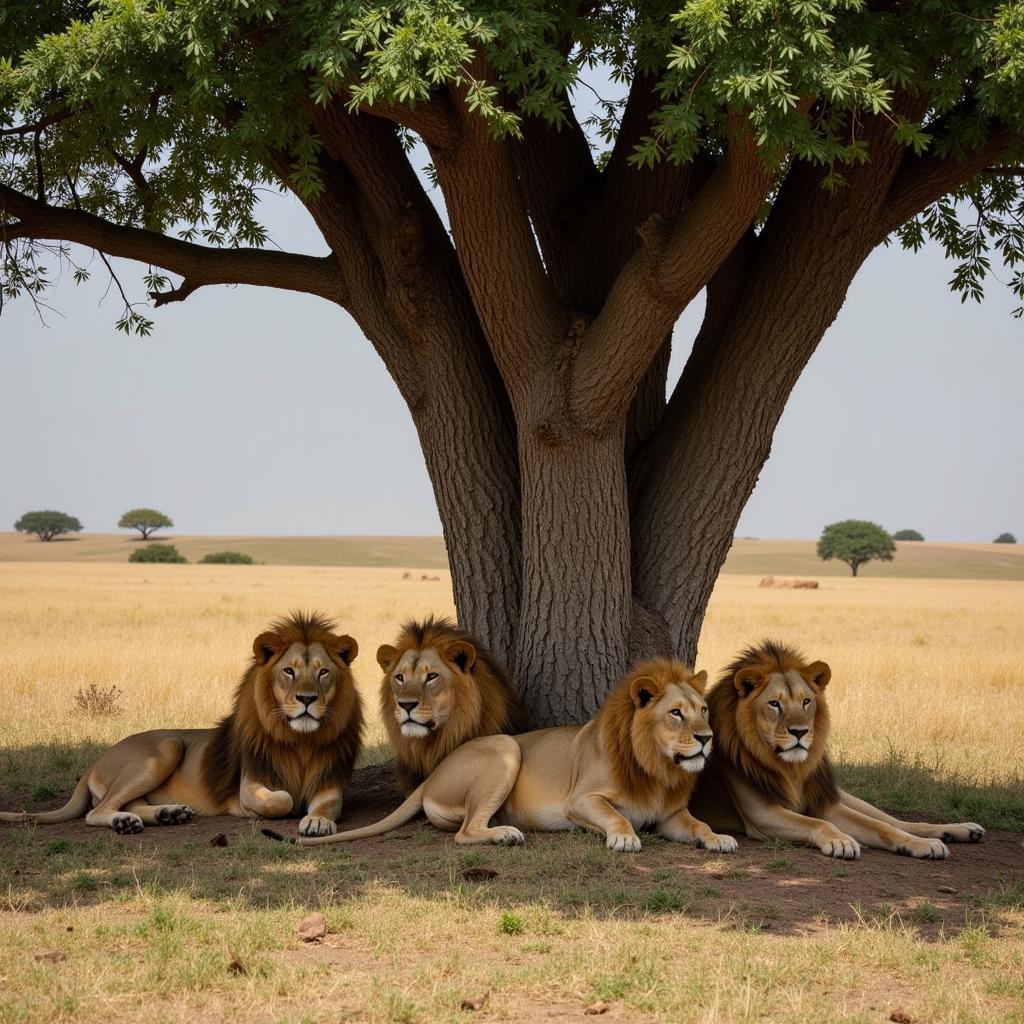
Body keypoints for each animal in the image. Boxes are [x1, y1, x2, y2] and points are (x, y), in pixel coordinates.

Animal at [0, 610, 364, 835]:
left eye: (323, 672)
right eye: (288, 671)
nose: (307, 699)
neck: (301, 741)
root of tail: (95, 762)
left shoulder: (330, 783)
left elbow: (325, 806)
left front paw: (316, 823)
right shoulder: (250, 785)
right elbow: (283, 799)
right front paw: (273, 812)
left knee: (126, 803)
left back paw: (166, 814)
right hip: (167, 746)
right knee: (97, 810)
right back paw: (126, 822)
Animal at [266, 655, 737, 856]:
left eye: (704, 710)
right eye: (675, 713)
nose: (707, 738)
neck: (659, 768)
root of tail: (431, 777)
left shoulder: (671, 814)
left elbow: (698, 823)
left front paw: (719, 837)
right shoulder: (580, 799)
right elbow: (616, 816)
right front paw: (623, 837)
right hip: (507, 749)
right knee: (465, 833)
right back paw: (505, 834)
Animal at [688, 643, 983, 860]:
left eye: (806, 701)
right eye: (774, 704)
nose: (800, 732)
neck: (790, 768)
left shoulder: (823, 804)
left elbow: (879, 826)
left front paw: (917, 844)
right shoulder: (762, 813)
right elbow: (818, 824)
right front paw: (842, 840)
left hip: (835, 794)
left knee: (894, 821)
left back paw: (951, 834)